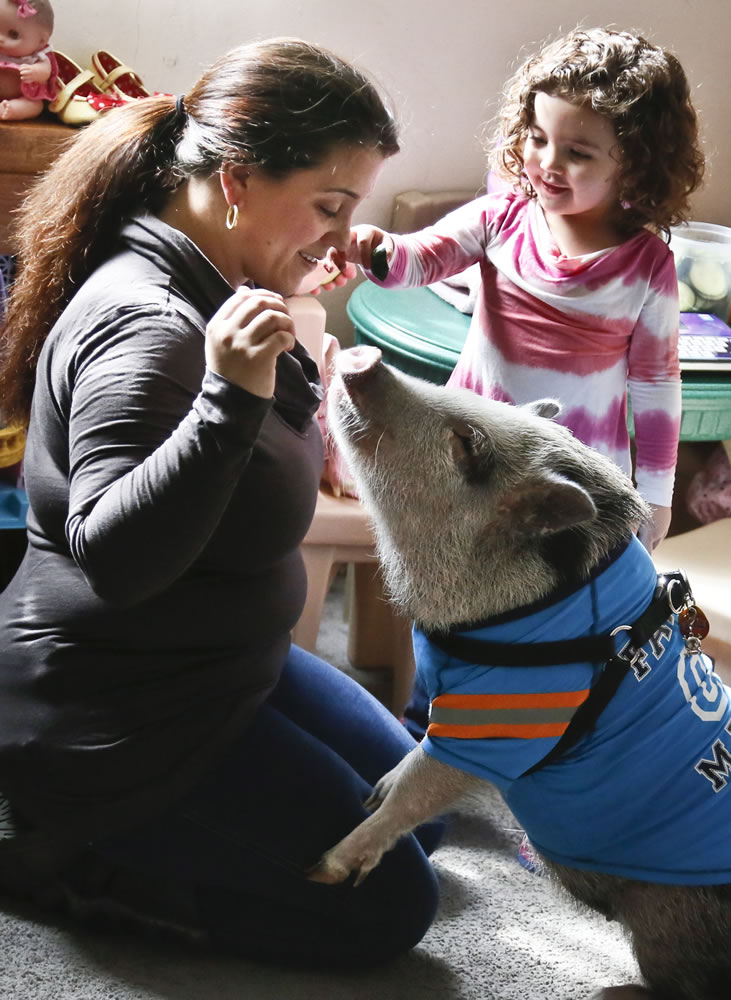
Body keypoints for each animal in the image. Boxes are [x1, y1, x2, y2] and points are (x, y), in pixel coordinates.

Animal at [312, 348, 731, 1000]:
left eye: (468, 445)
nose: (363, 358)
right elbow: (408, 764)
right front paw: (372, 787)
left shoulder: (499, 722)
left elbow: (422, 788)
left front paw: (323, 870)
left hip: (671, 926)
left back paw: (615, 991)